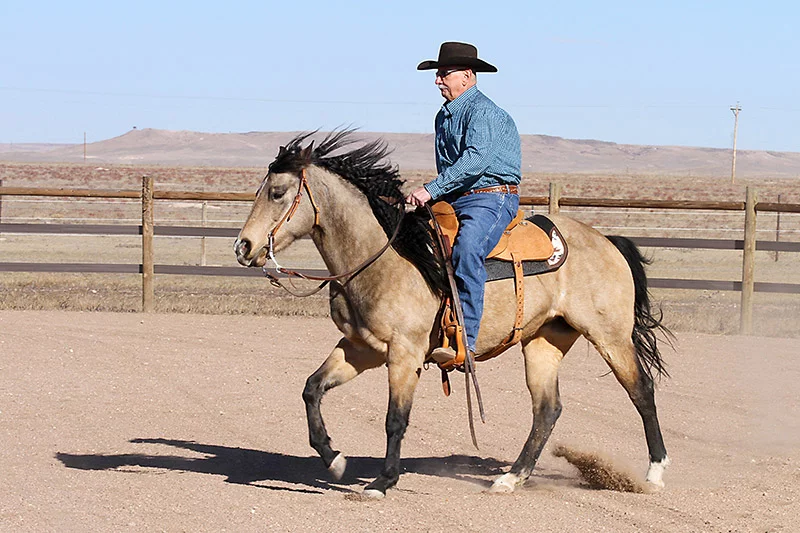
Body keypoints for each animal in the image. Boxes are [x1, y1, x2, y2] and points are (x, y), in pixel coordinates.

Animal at [234, 130, 672, 499]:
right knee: (547, 409)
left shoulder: (404, 354)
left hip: (610, 336)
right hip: (544, 341)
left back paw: (654, 474)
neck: (384, 256)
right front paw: (335, 459)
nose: (243, 246)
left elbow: (395, 419)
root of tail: (606, 240)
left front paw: (383, 481)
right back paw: (510, 478)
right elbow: (312, 389)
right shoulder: (361, 348)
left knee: (641, 391)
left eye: (277, 192)